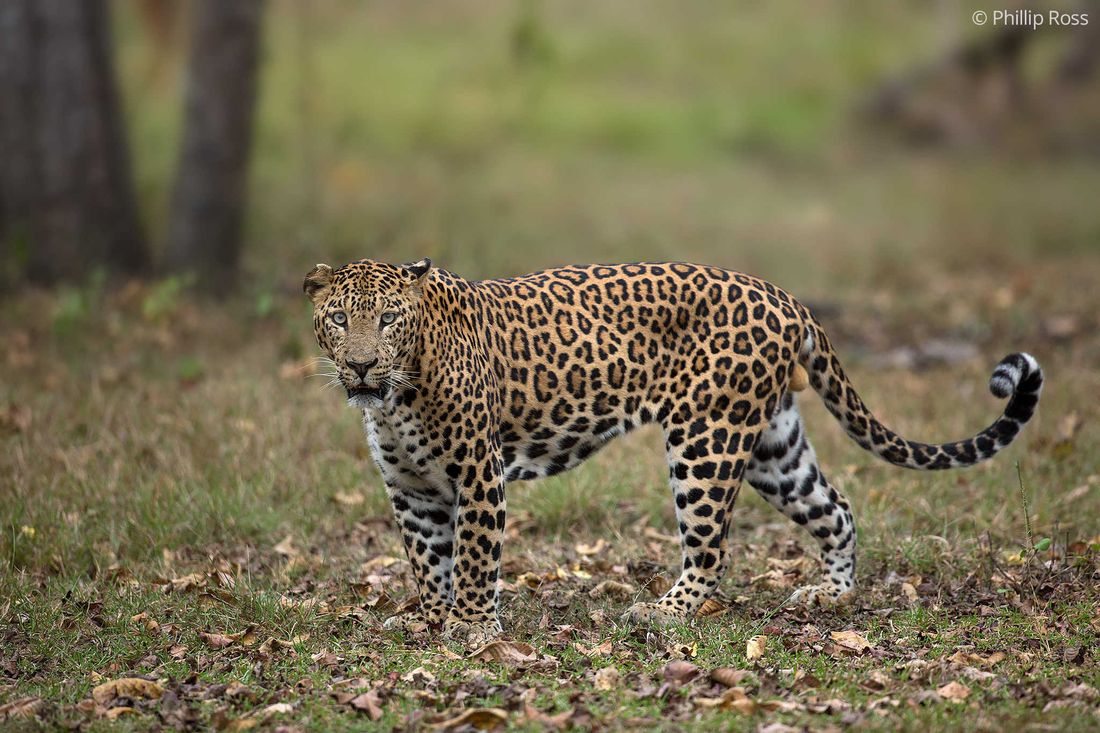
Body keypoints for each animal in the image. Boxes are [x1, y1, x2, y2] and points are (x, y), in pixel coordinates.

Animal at [304, 258, 1043, 646]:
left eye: (388, 320)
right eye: (339, 319)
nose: (362, 366)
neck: (396, 397)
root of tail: (786, 297)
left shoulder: (479, 477)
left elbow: (477, 558)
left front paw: (475, 631)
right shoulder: (411, 488)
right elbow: (427, 561)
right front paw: (432, 623)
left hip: (704, 439)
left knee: (712, 548)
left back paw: (661, 611)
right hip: (774, 445)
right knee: (836, 507)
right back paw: (829, 594)